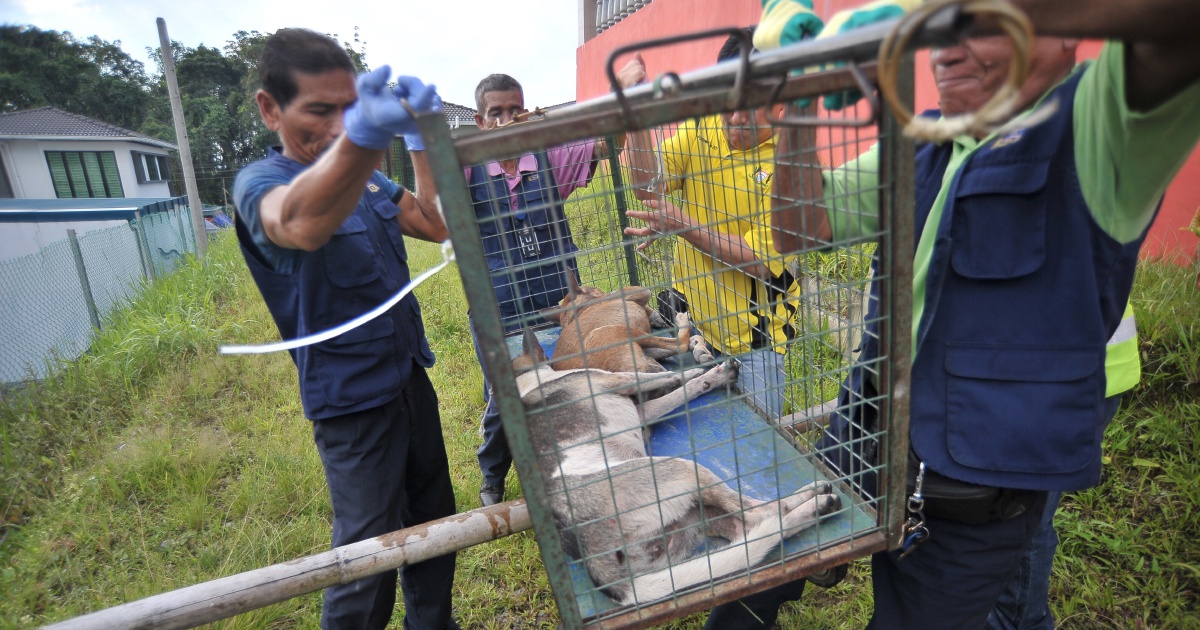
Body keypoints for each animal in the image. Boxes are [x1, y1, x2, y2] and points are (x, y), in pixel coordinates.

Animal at [511, 328, 840, 604]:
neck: (530, 386)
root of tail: (590, 552)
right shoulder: (617, 380)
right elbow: (667, 379)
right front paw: (699, 369)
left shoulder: (642, 412)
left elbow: (683, 391)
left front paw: (711, 376)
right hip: (683, 469)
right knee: (758, 513)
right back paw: (817, 499)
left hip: (695, 518)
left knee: (750, 530)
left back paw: (816, 507)